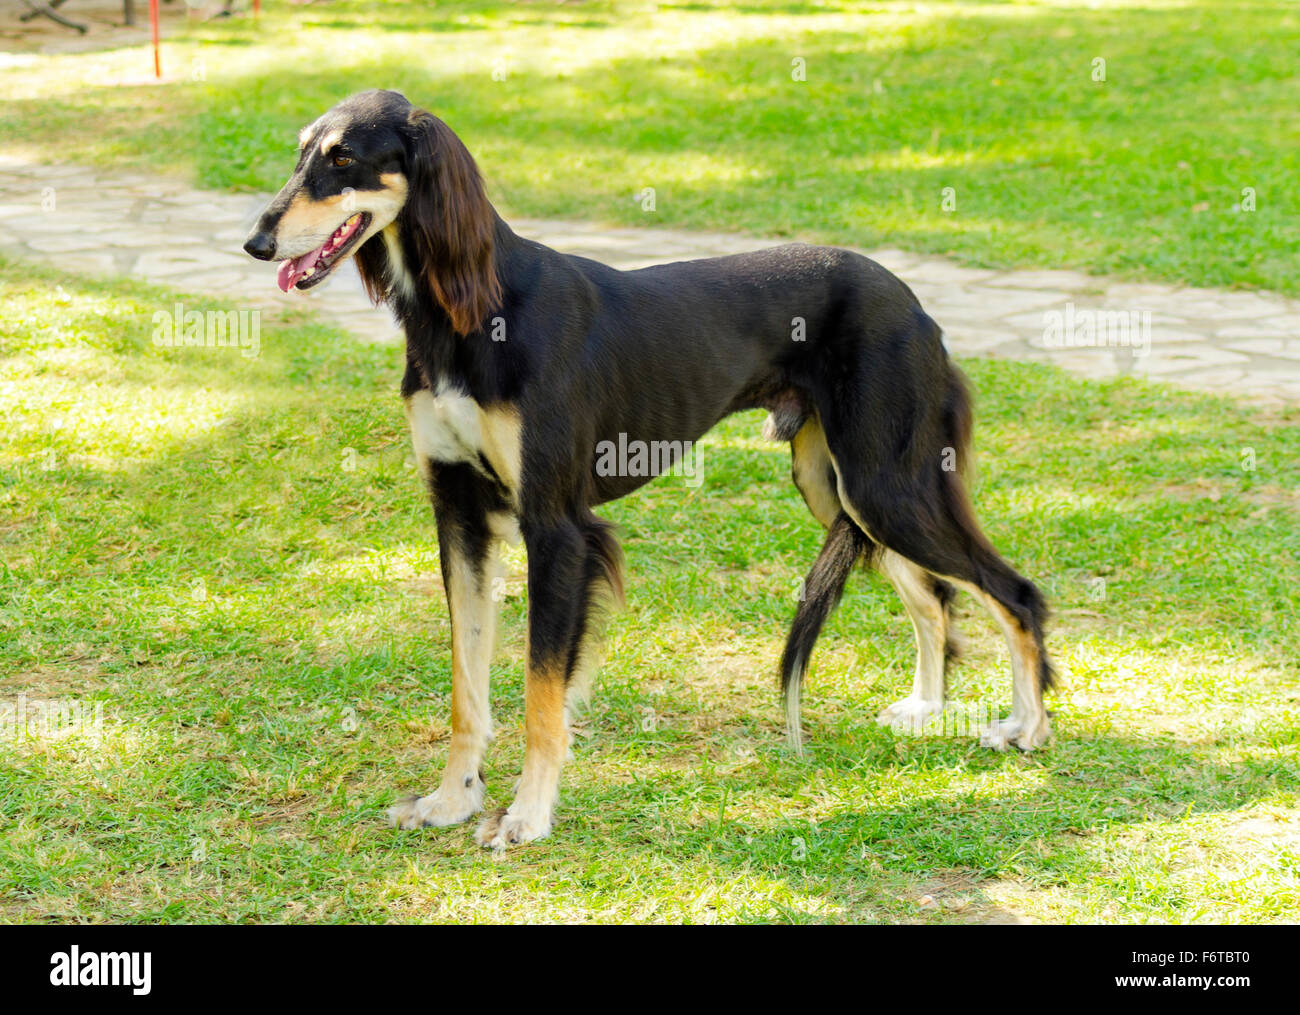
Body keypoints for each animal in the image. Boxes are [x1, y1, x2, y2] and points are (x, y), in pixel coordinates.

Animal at [245, 89, 1055, 847]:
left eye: (343, 158)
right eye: (300, 154)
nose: (257, 241)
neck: (471, 311)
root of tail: (914, 303)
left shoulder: (556, 528)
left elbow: (541, 692)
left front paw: (527, 814)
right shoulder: (459, 515)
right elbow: (465, 686)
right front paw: (453, 799)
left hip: (885, 483)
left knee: (1014, 592)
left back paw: (1026, 727)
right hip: (840, 488)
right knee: (934, 598)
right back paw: (929, 706)